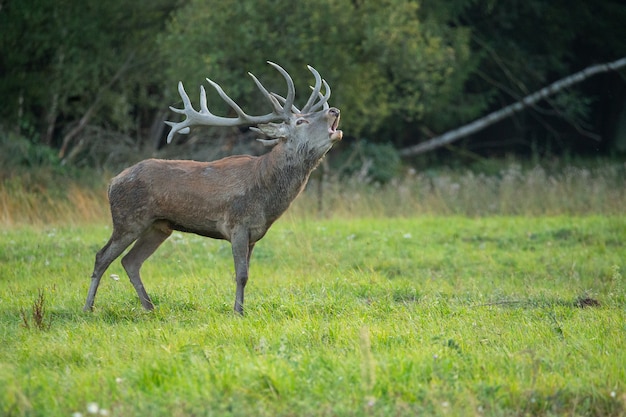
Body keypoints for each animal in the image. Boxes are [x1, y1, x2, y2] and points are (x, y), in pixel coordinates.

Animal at [83, 61, 342, 314]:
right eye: (301, 121)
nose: (334, 110)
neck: (265, 195)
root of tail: (112, 183)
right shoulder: (237, 224)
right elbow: (241, 275)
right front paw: (238, 312)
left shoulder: (254, 234)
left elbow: (247, 273)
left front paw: (241, 308)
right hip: (128, 220)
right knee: (101, 256)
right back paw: (89, 307)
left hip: (158, 226)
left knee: (131, 261)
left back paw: (149, 307)